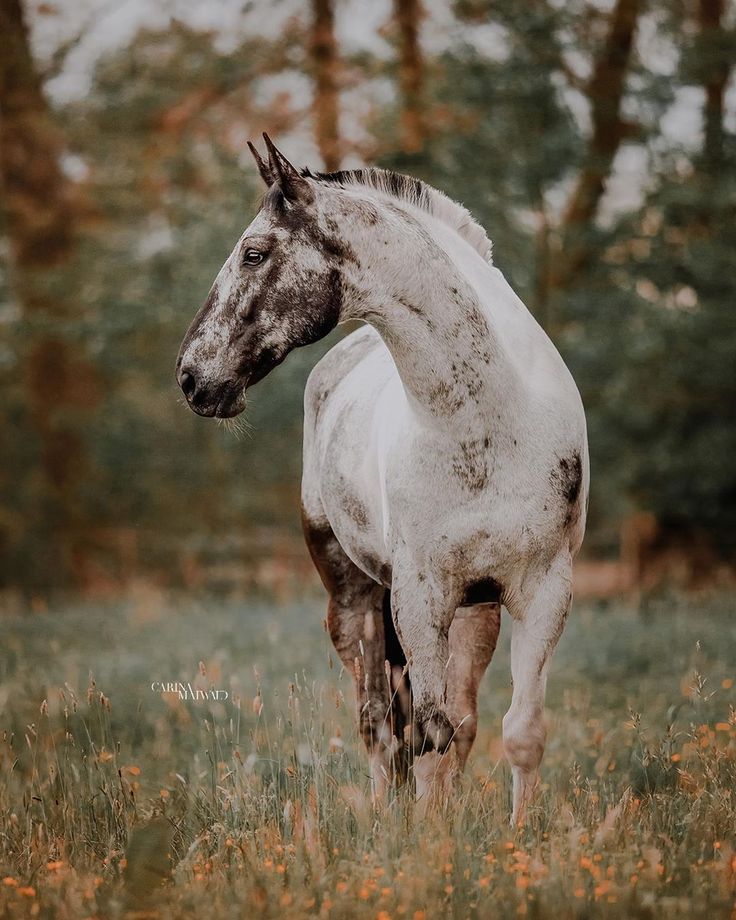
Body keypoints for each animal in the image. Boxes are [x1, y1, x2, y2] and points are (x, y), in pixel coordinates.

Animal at [175, 133, 588, 824]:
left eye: (255, 253)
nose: (190, 377)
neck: (486, 424)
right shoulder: (418, 595)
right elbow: (426, 733)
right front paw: (429, 837)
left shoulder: (542, 590)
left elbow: (515, 732)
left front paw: (518, 837)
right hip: (356, 600)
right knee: (377, 721)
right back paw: (384, 817)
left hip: (475, 612)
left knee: (457, 721)